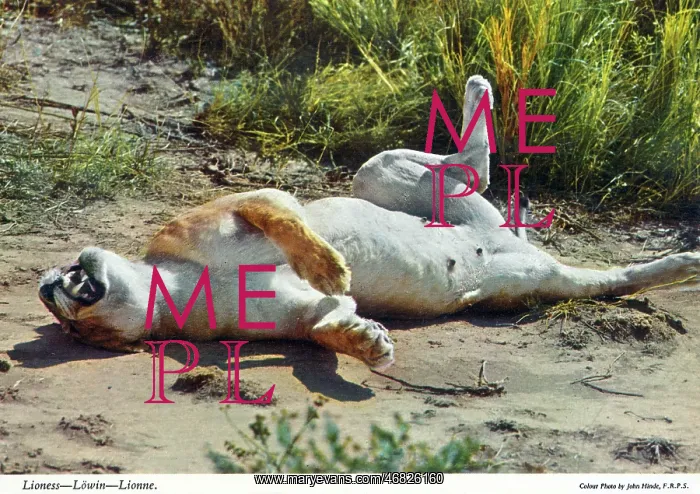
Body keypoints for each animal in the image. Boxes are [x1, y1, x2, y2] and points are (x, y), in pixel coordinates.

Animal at [38, 77, 699, 370]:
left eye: (70, 279)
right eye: (78, 332)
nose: (50, 288)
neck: (178, 284)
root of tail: (502, 241)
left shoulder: (250, 199)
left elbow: (283, 221)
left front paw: (331, 265)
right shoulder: (294, 314)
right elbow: (325, 323)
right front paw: (365, 341)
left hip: (375, 173)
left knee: (471, 164)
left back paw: (478, 85)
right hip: (531, 285)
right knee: (610, 277)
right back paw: (684, 265)